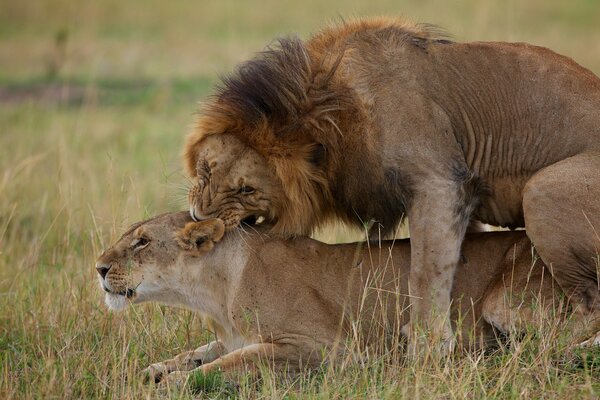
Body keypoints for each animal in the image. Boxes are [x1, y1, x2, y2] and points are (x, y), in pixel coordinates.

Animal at [96, 211, 596, 386]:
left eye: (142, 242)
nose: (98, 268)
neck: (214, 292)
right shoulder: (232, 336)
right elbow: (201, 352)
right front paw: (156, 369)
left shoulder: (320, 347)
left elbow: (226, 365)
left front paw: (174, 385)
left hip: (506, 299)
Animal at [183, 16, 600, 346]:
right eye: (205, 170)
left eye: (246, 189)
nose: (199, 218)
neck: (336, 111)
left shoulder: (441, 183)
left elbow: (425, 271)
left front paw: (428, 347)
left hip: (542, 191)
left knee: (589, 302)